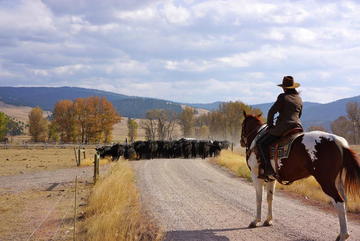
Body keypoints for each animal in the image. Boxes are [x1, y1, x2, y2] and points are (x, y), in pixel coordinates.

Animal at [239, 112, 360, 241]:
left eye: (243, 125)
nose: (241, 141)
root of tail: (338, 142)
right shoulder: (271, 179)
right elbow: (269, 198)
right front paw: (268, 220)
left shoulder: (256, 177)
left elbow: (259, 199)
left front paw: (255, 221)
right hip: (337, 181)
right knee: (344, 202)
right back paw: (341, 234)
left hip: (326, 182)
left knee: (339, 202)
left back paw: (344, 235)